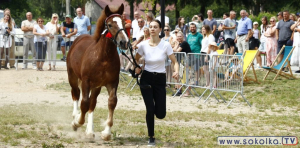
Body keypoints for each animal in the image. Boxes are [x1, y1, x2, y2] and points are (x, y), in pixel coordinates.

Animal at [66, 3, 128, 140]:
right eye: (110, 25)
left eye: (123, 23)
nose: (124, 42)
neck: (104, 57)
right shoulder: (86, 81)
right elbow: (84, 103)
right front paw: (77, 122)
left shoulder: (112, 82)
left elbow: (112, 102)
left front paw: (106, 133)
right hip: (73, 77)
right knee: (76, 95)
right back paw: (74, 119)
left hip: (96, 86)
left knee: (92, 103)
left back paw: (90, 131)